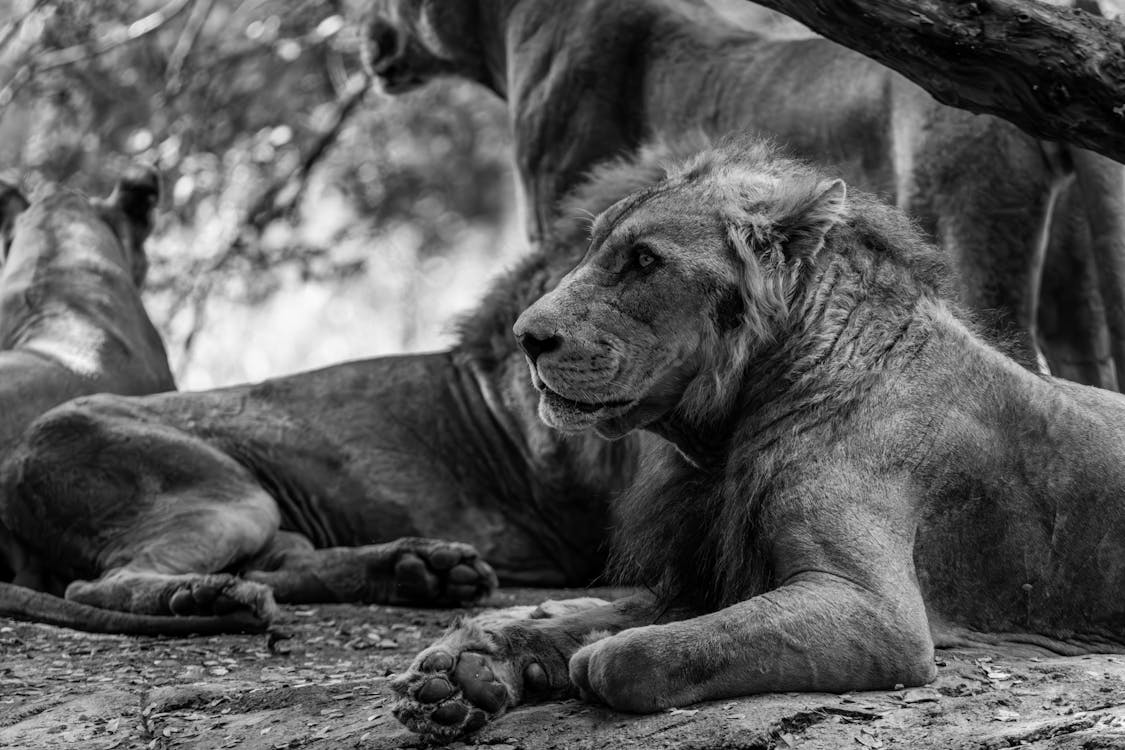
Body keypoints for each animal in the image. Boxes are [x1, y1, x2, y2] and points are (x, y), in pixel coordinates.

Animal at [387, 137, 1125, 742]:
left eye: (643, 261)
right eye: (596, 249)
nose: (526, 338)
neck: (721, 437)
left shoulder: (878, 614)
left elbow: (635, 652)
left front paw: (578, 659)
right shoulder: (701, 573)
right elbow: (586, 621)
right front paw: (465, 673)